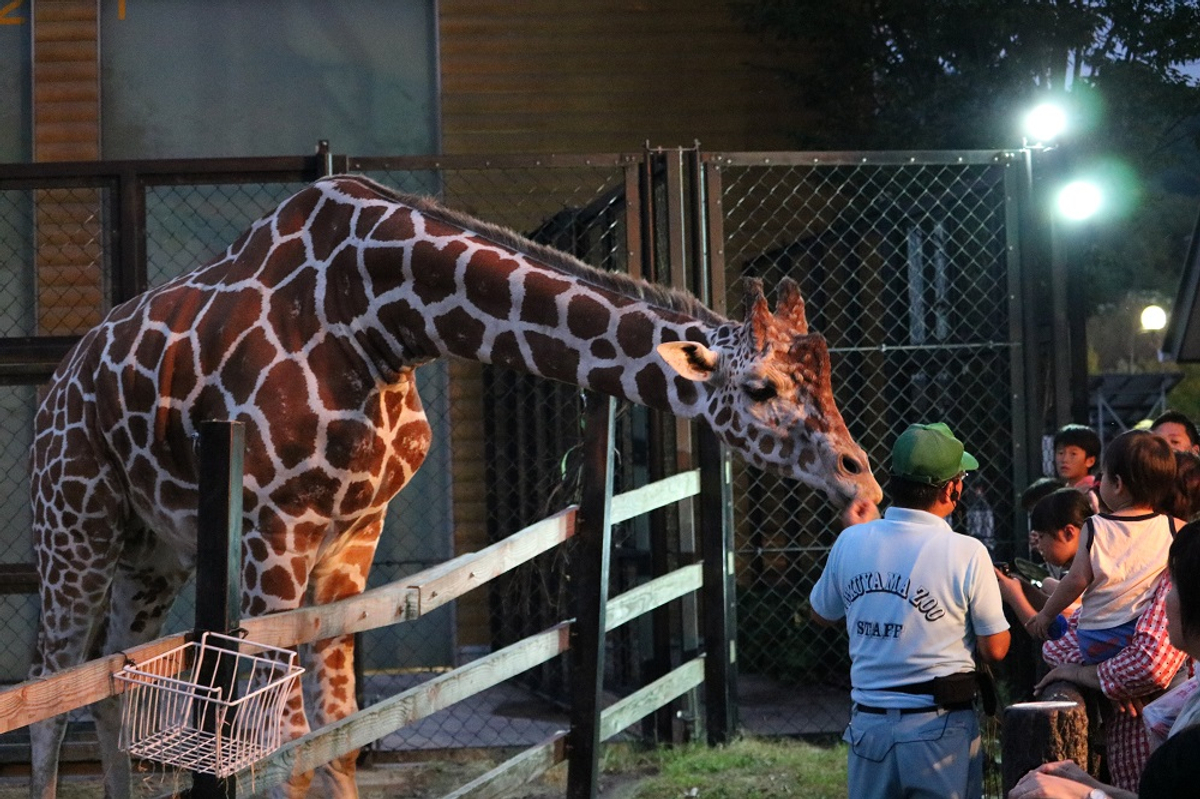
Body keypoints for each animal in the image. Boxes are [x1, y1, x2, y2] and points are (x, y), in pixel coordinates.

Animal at [28, 171, 883, 791]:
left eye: (827, 375)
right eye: (761, 389)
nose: (863, 483)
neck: (382, 320)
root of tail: (55, 388)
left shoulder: (351, 532)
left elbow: (336, 738)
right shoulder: (274, 525)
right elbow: (276, 745)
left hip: (152, 553)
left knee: (110, 686)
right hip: (73, 529)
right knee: (45, 691)